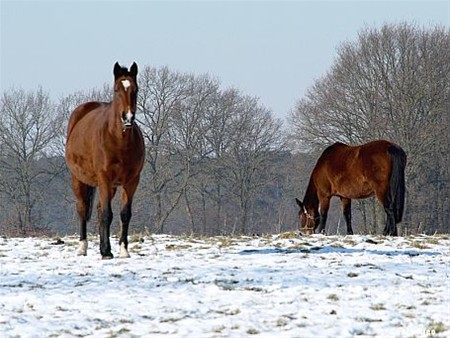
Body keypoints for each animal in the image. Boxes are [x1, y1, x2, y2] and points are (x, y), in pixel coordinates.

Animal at [65, 62, 145, 258]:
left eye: (136, 89)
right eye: (117, 89)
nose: (128, 117)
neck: (118, 141)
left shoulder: (131, 181)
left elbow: (124, 214)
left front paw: (123, 250)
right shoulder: (104, 178)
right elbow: (108, 214)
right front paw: (107, 252)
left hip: (111, 186)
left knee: (100, 210)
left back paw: (102, 247)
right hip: (78, 179)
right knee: (83, 209)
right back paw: (82, 247)